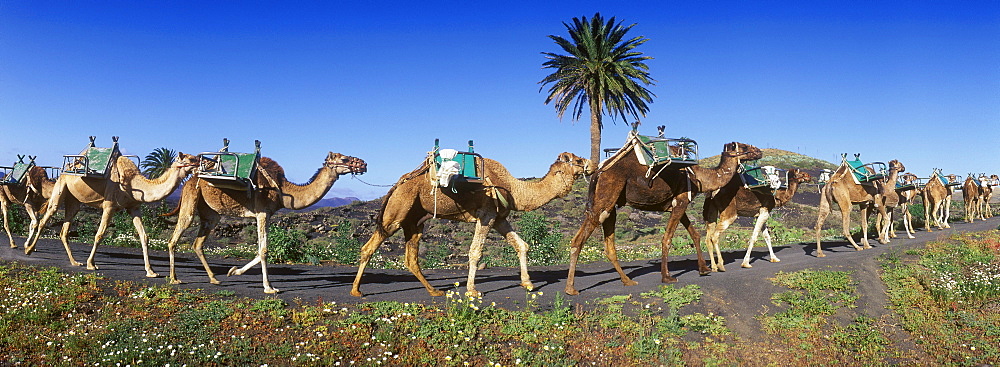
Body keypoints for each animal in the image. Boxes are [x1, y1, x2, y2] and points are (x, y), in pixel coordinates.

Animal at [23, 153, 199, 278]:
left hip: (74, 201)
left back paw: (75, 262)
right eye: (191, 158)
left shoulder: (134, 207)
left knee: (64, 230)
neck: (132, 182)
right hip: (61, 188)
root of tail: (67, 167)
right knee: (45, 218)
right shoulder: (109, 206)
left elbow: (144, 236)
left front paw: (151, 271)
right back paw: (29, 249)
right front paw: (91, 264)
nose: (201, 164)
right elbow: (100, 234)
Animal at [164, 151, 368, 294]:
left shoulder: (268, 215)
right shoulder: (262, 212)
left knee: (197, 243)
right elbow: (264, 250)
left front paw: (233, 271)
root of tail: (189, 180)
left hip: (212, 214)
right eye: (344, 159)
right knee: (174, 238)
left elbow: (260, 250)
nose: (363, 164)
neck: (284, 190)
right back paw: (174, 279)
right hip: (191, 200)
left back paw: (214, 279)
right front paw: (269, 288)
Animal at [350, 152, 588, 300]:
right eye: (577, 159)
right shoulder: (486, 215)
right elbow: (475, 252)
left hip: (414, 220)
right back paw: (356, 291)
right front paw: (472, 291)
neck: (514, 189)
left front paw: (528, 283)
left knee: (411, 257)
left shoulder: (499, 218)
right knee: (369, 247)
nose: (591, 164)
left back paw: (434, 291)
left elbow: (521, 245)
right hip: (398, 210)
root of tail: (399, 182)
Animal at [560, 141, 760, 296]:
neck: (699, 176)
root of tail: (599, 172)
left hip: (611, 206)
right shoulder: (681, 202)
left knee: (608, 246)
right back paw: (570, 289)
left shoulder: (678, 204)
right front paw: (667, 277)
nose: (759, 151)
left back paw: (627, 281)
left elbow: (694, 235)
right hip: (605, 198)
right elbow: (667, 238)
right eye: (743, 145)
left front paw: (704, 269)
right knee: (578, 240)